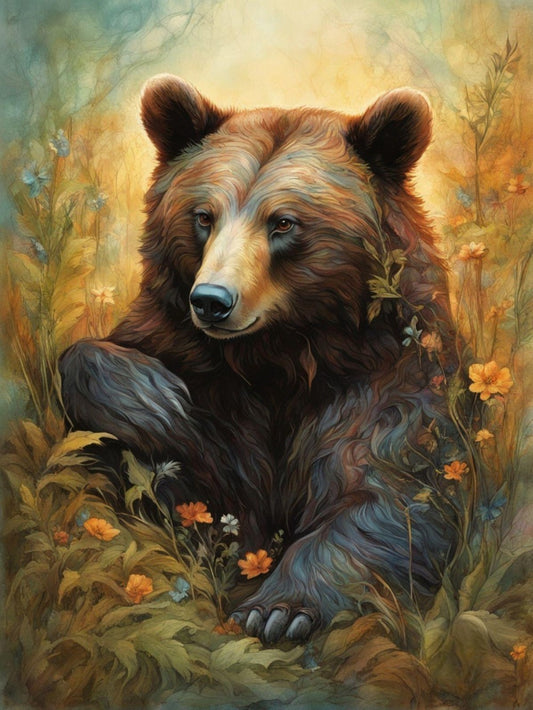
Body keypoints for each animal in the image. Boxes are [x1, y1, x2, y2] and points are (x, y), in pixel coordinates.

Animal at [59, 75, 461, 644]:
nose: (211, 300)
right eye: (204, 215)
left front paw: (278, 607)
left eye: (284, 222)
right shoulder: (196, 367)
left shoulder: (389, 374)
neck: (281, 355)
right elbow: (177, 478)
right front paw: (152, 400)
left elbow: (393, 495)